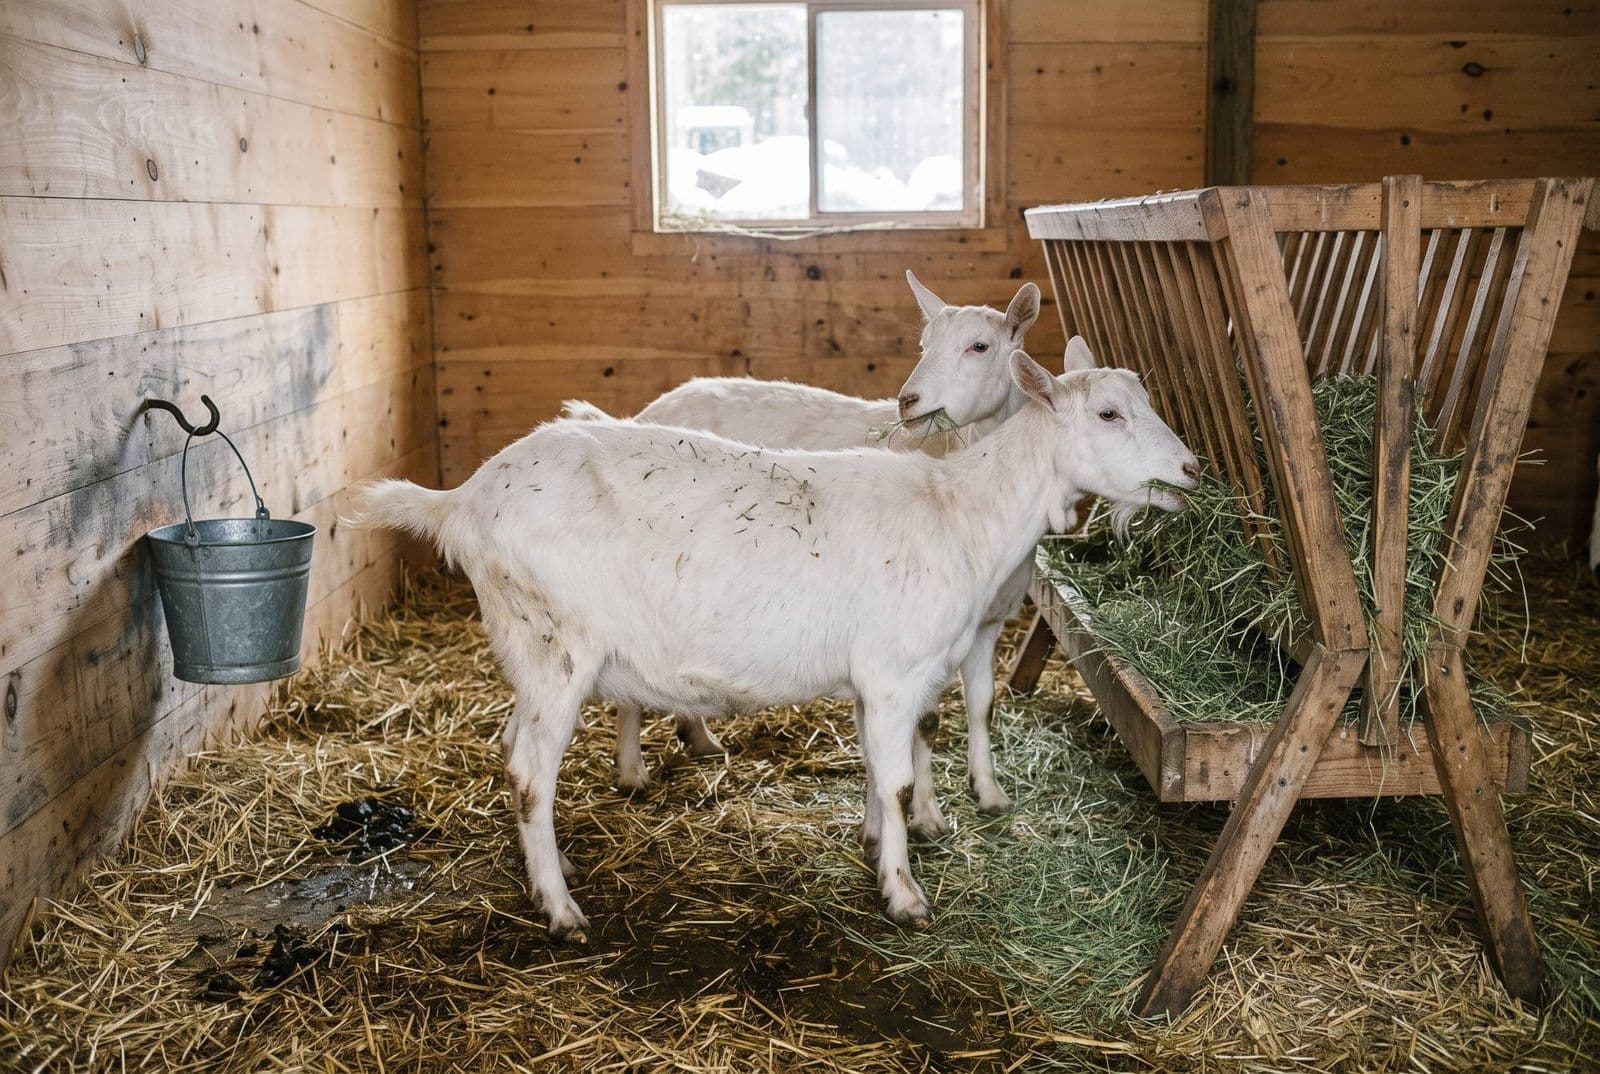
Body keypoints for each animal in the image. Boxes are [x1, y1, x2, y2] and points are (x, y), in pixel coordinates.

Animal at [350, 347, 1199, 940]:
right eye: (1109, 415)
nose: (1192, 468)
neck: (961, 511)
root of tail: (463, 500)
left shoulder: (885, 678)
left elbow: (878, 770)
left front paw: (874, 844)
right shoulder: (896, 669)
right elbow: (897, 780)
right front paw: (904, 893)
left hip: (526, 651)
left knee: (510, 749)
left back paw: (543, 871)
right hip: (557, 645)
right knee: (531, 772)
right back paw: (561, 909)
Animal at [568, 272, 1049, 823]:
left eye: (980, 346)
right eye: (924, 346)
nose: (908, 401)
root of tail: (647, 411)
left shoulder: (988, 624)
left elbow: (981, 705)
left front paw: (988, 791)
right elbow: (924, 721)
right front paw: (926, 814)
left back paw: (697, 737)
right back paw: (631, 769)